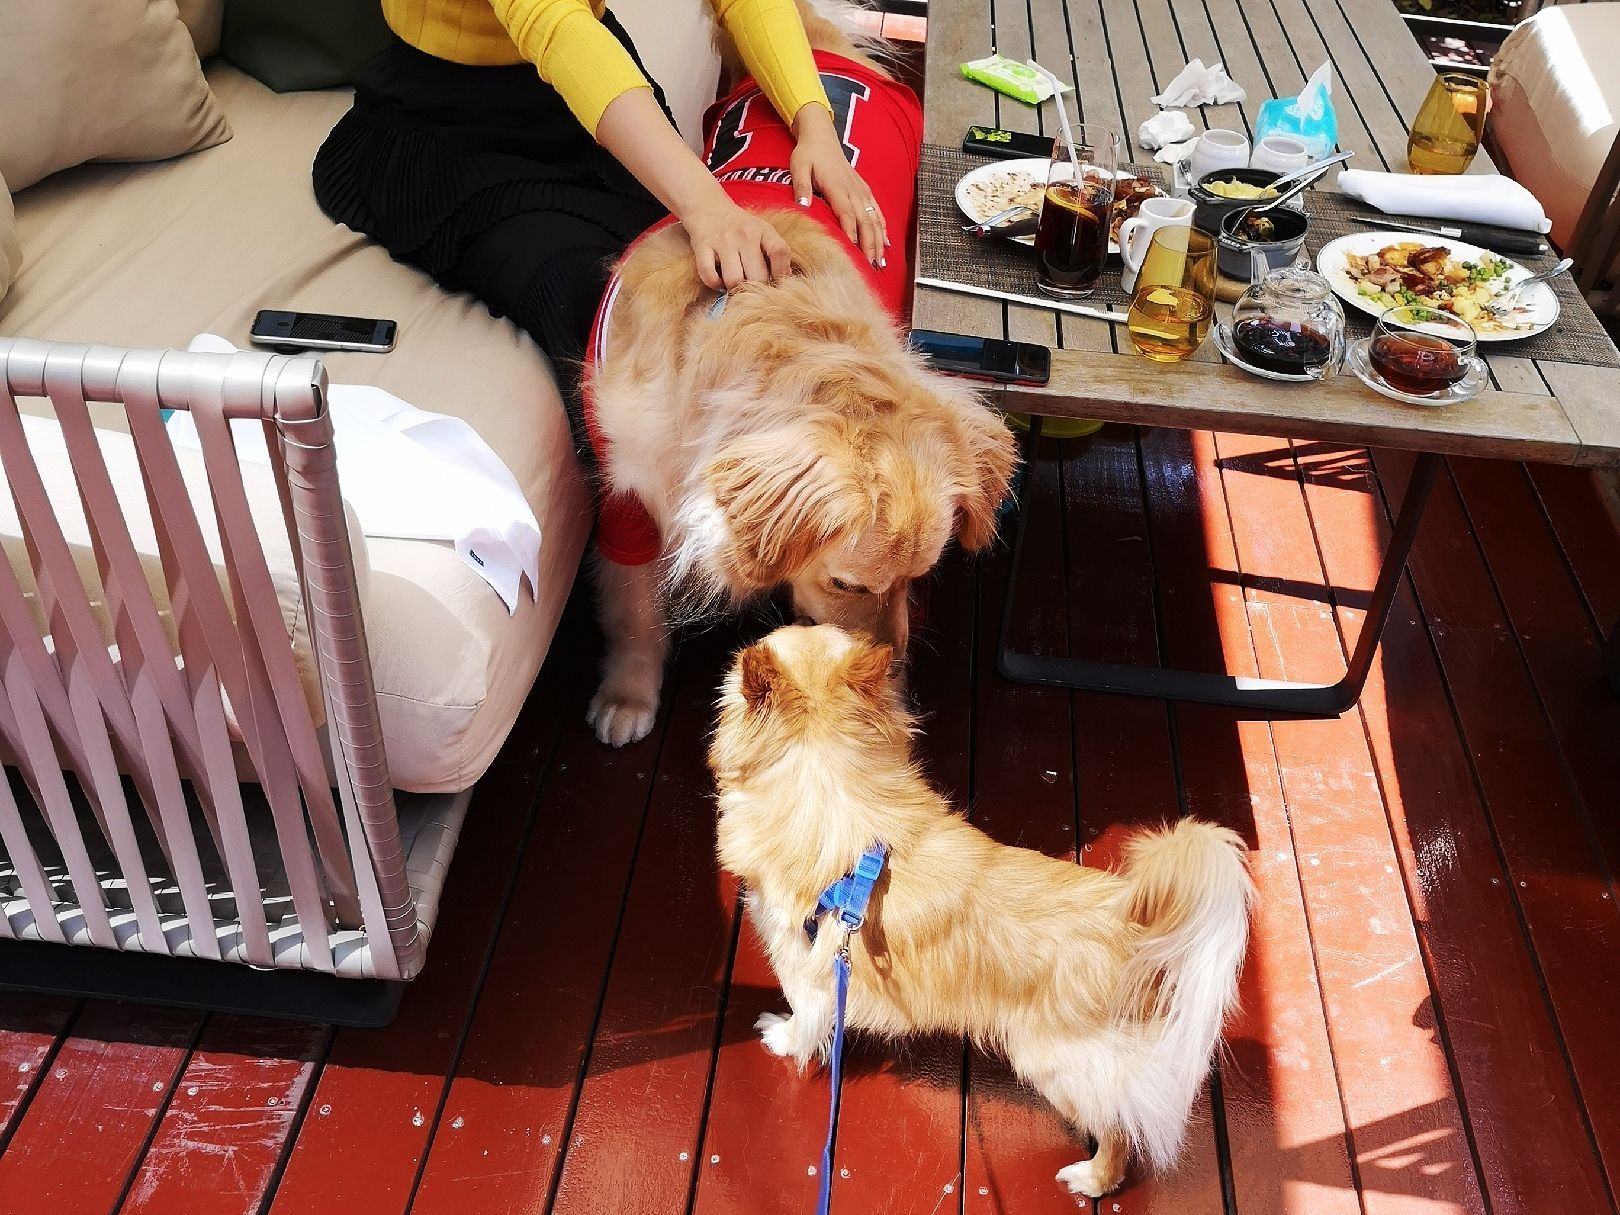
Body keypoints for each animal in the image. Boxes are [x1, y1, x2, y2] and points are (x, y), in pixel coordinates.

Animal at [581, 4, 1017, 747]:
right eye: (848, 585)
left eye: (919, 577)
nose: (894, 678)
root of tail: (822, 45)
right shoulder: (626, 482)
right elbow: (633, 598)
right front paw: (630, 691)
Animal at [710, 624, 1254, 1198]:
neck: (825, 777)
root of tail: (1134, 928)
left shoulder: (805, 965)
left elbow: (804, 1019)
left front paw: (781, 1036)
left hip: (1057, 1064)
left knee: (1118, 1128)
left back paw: (1091, 1178)